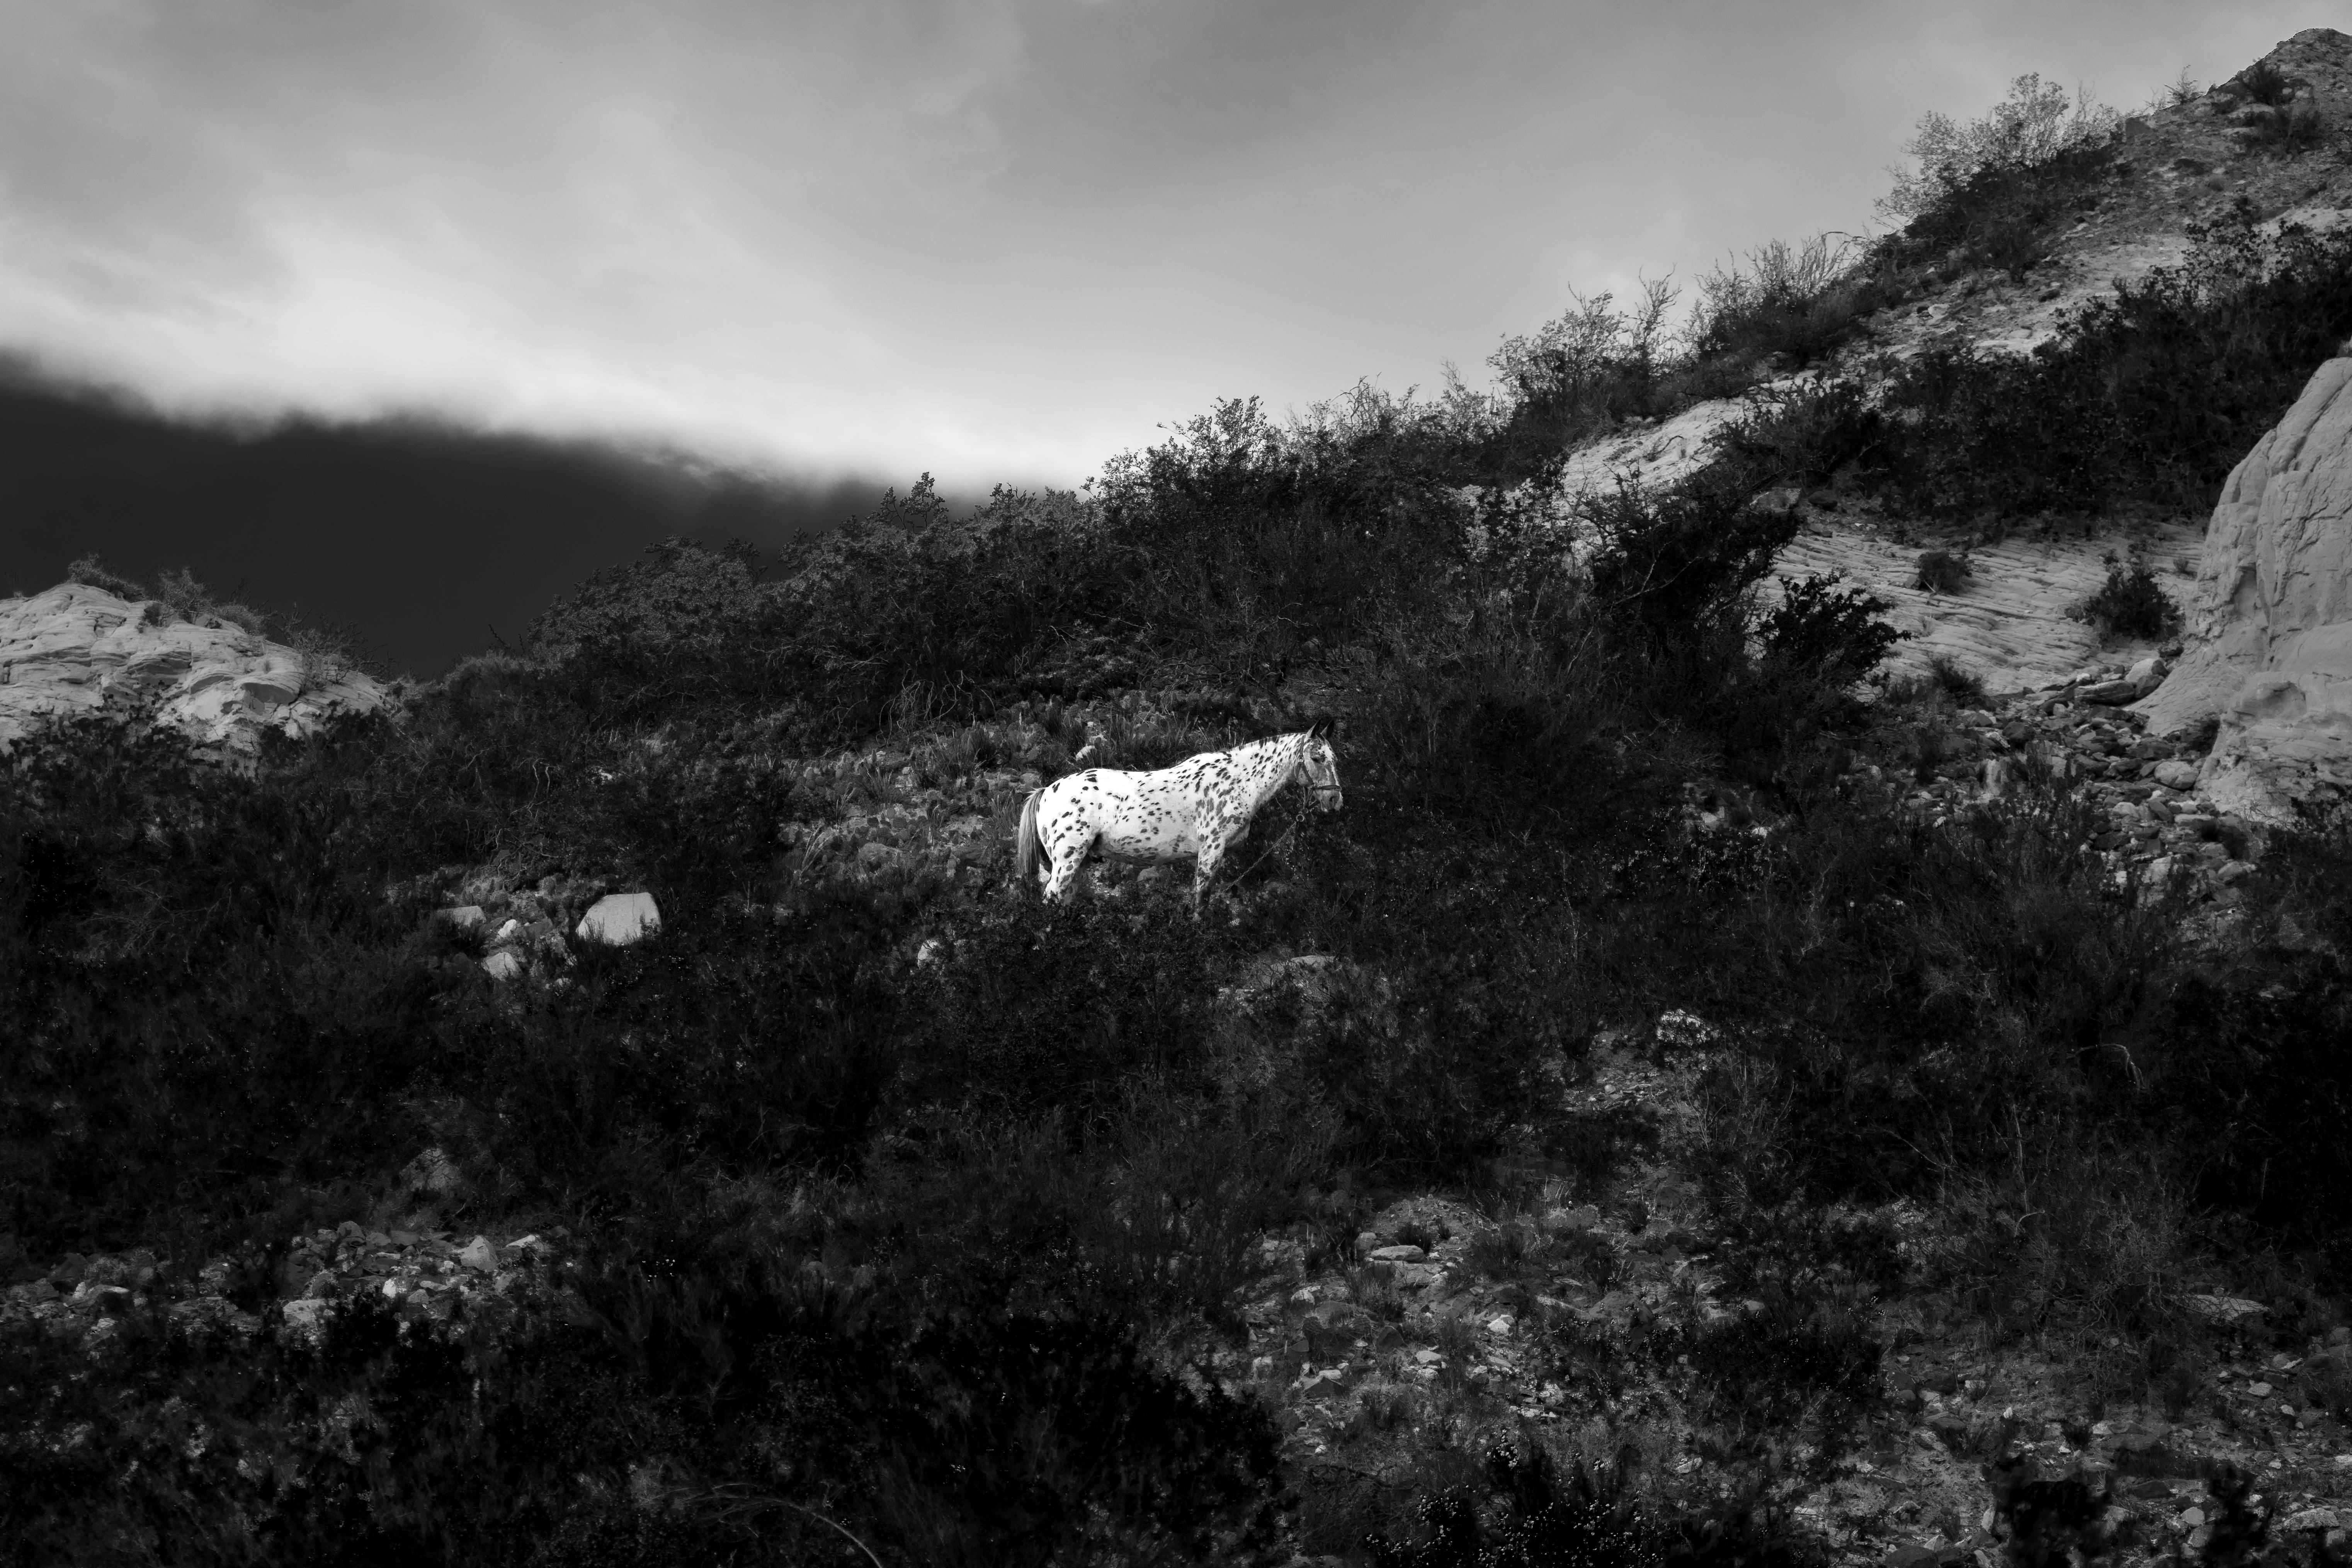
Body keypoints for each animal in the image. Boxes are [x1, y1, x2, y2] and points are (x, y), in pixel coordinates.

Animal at [1014, 729, 1343, 911]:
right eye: (1316, 758)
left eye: (1334, 759)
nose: (1334, 801)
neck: (1237, 781)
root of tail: (1047, 791)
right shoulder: (1211, 850)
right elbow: (1201, 900)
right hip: (1067, 860)